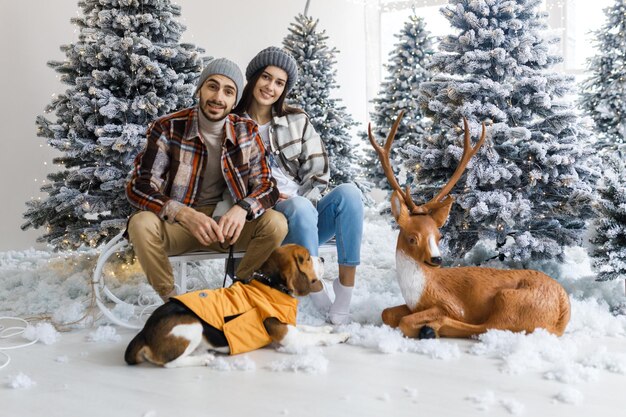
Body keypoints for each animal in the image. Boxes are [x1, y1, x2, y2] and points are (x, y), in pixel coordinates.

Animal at [124, 244, 348, 368]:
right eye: (307, 258)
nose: (323, 258)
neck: (270, 284)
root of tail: (144, 333)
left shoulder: (288, 324)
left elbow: (308, 327)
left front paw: (326, 328)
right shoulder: (289, 338)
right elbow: (315, 337)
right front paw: (339, 335)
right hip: (192, 325)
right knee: (170, 363)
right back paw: (204, 359)